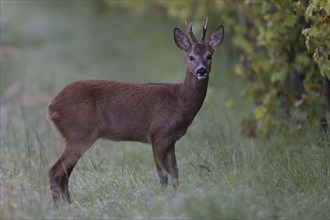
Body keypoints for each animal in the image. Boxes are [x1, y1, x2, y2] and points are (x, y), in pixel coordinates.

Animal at [48, 18, 224, 206]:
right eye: (190, 57)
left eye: (209, 55)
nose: (201, 70)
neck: (179, 101)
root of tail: (51, 108)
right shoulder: (158, 134)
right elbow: (163, 174)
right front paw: (164, 199)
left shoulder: (171, 139)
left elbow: (175, 172)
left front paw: (177, 197)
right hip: (79, 133)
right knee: (55, 172)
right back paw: (59, 207)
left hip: (76, 136)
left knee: (64, 175)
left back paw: (69, 205)